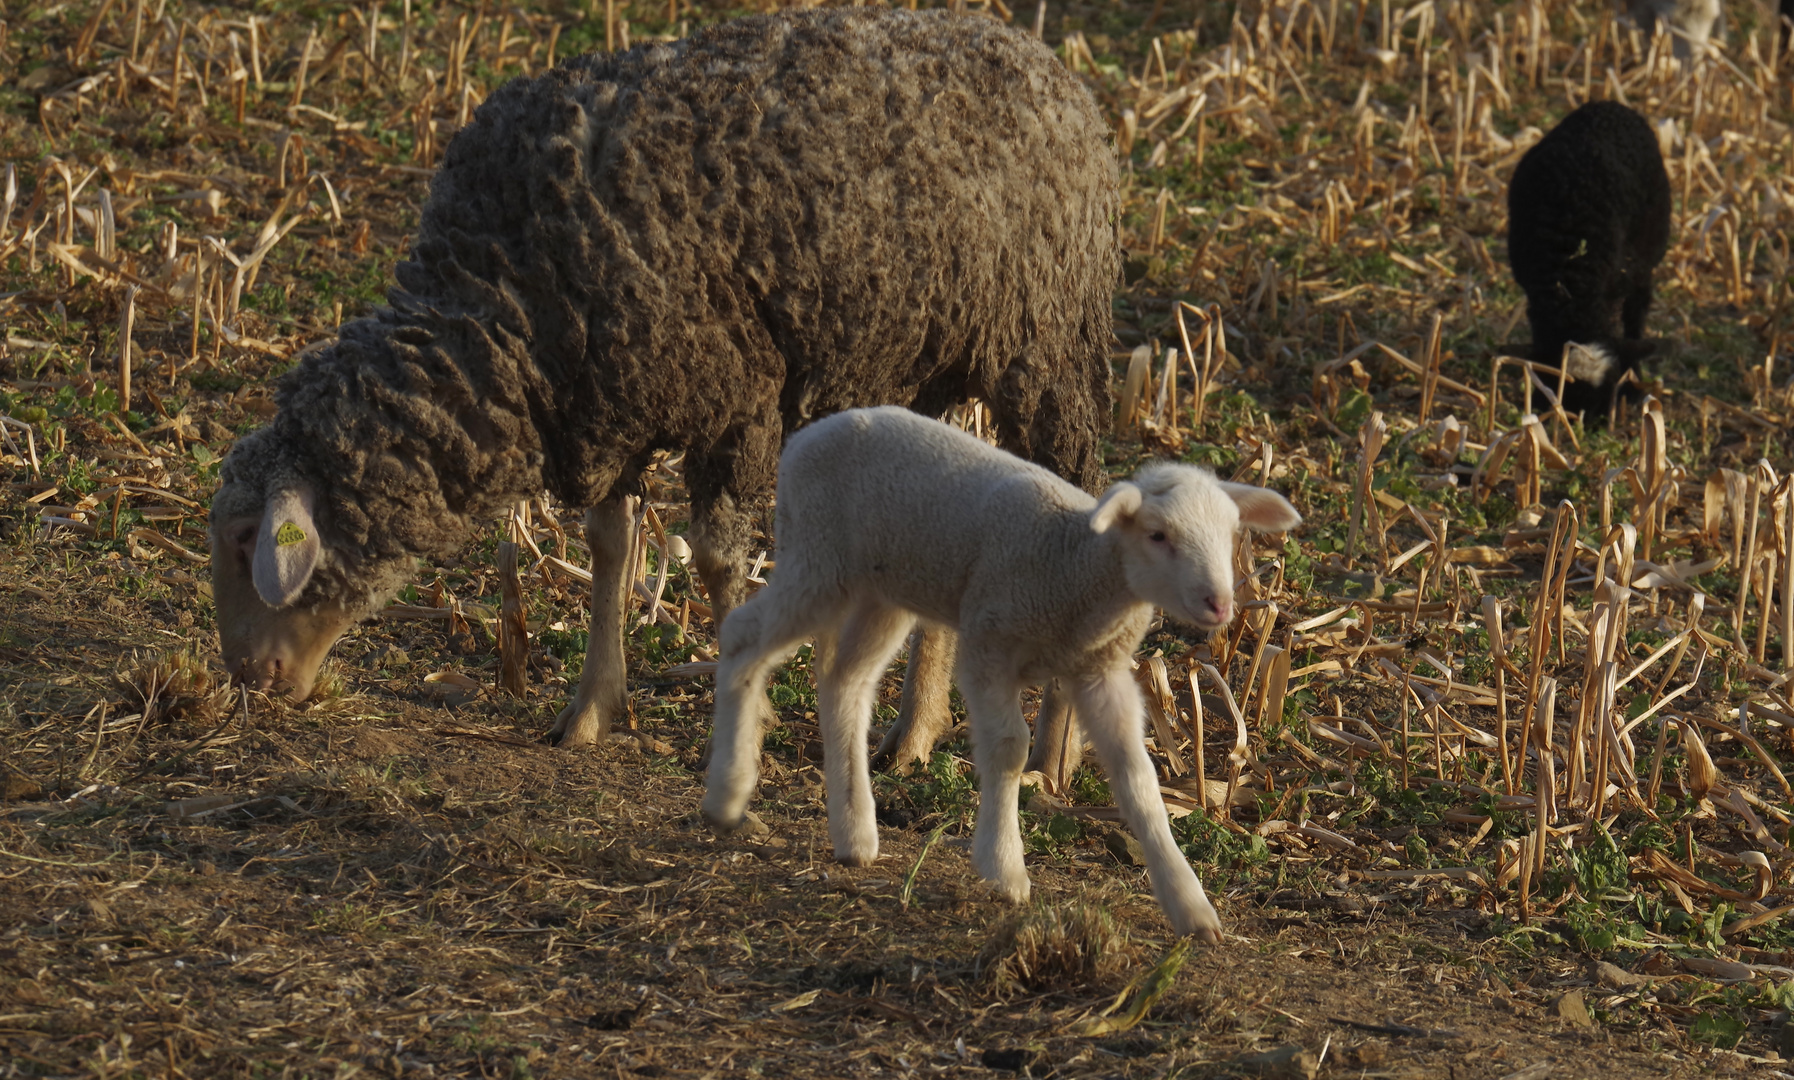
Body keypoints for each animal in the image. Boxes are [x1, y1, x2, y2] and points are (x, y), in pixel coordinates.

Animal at [206, 6, 1119, 739]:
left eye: (252, 540)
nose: (249, 678)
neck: (505, 303)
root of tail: (1046, 63)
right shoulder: (606, 404)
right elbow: (610, 546)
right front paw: (589, 711)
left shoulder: (736, 398)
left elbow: (715, 558)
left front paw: (744, 711)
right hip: (935, 353)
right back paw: (915, 732)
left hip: (1048, 347)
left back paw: (1054, 749)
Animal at [699, 403, 1306, 932]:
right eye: (1157, 535)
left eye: (1230, 534)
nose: (1220, 605)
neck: (1076, 565)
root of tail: (812, 432)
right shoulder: (989, 642)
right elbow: (1010, 749)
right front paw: (1004, 868)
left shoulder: (1100, 670)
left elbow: (1138, 778)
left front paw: (1191, 906)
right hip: (817, 556)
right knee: (744, 635)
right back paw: (727, 793)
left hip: (884, 588)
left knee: (845, 680)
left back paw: (854, 833)